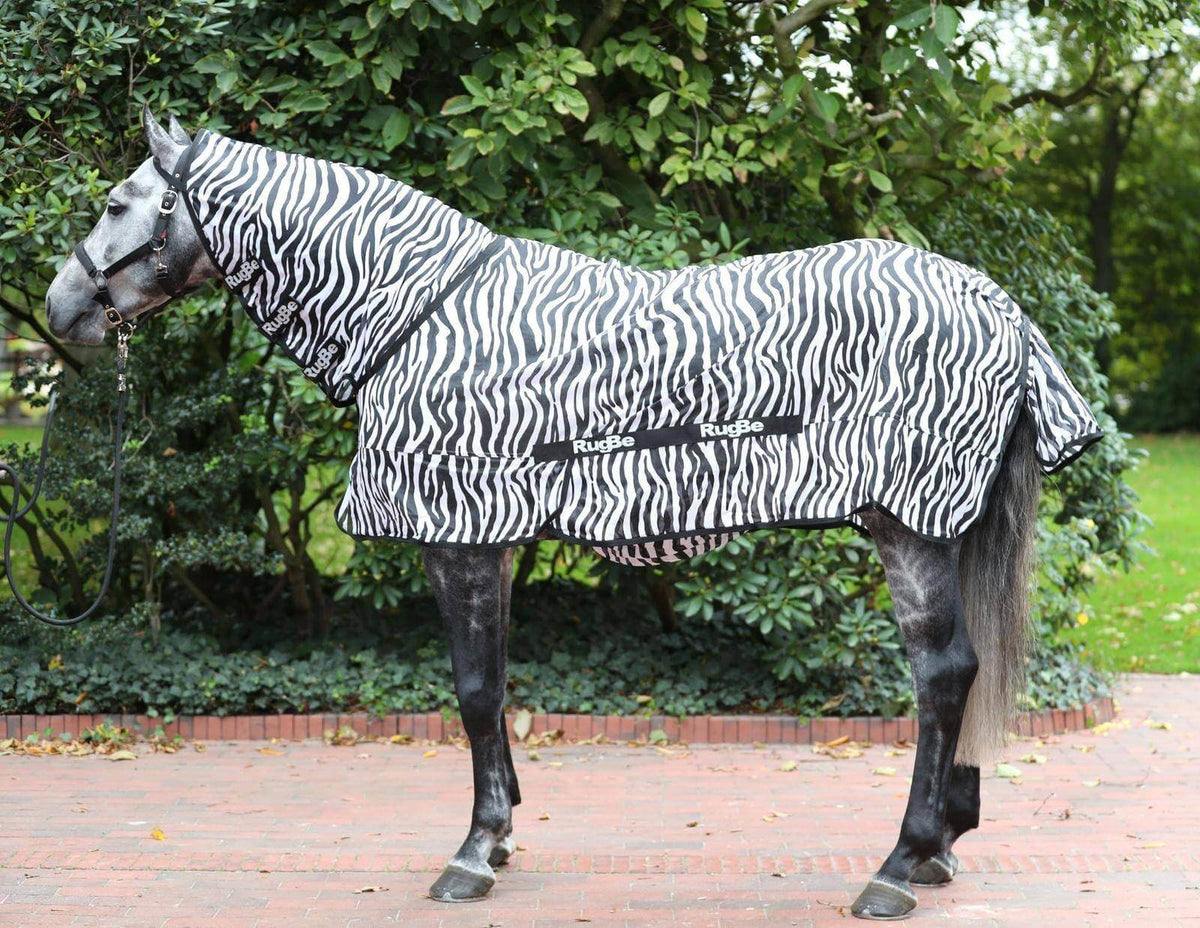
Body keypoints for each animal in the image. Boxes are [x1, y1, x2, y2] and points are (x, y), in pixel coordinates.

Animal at [45, 107, 1101, 919]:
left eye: (116, 204)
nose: (60, 311)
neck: (418, 315)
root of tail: (994, 303)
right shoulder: (494, 540)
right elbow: (497, 682)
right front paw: (503, 831)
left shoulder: (458, 540)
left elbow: (473, 692)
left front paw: (473, 854)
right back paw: (938, 849)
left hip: (906, 528)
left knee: (942, 675)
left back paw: (895, 867)